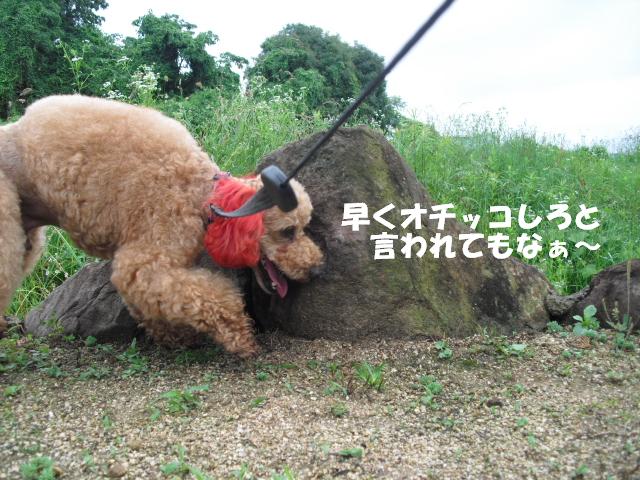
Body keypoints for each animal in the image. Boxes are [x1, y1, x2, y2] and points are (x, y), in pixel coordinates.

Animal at [0, 95, 323, 357]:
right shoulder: (147, 257)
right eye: (288, 232)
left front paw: (170, 335)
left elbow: (149, 304)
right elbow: (210, 297)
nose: (317, 270)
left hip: (26, 236)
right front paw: (240, 337)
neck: (203, 195)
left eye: (305, 227)